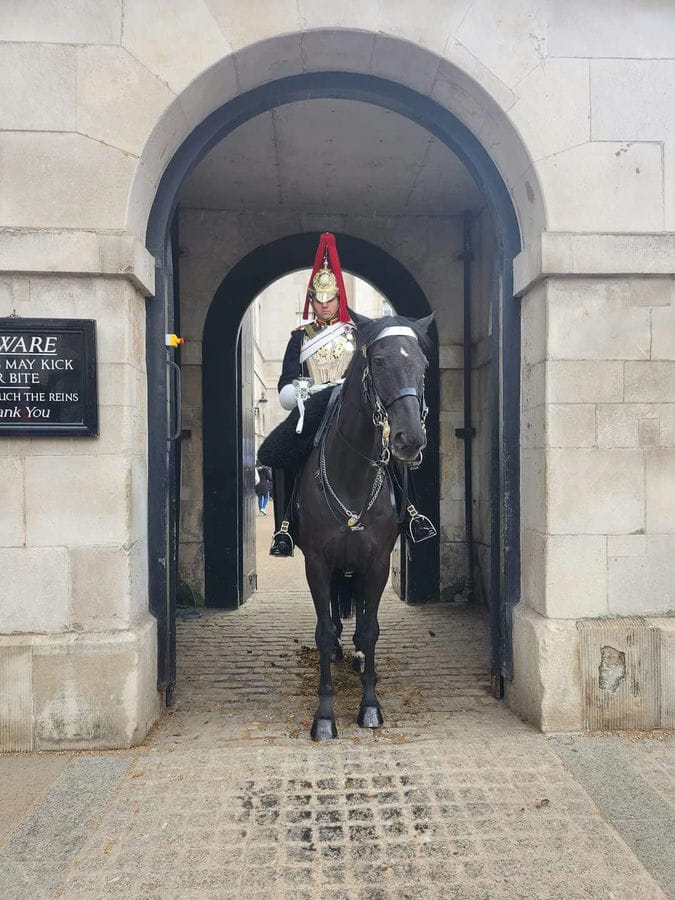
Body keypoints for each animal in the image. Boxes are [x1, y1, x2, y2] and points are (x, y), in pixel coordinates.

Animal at [296, 310, 434, 740]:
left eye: (423, 365)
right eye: (379, 361)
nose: (410, 439)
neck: (352, 475)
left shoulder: (375, 564)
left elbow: (370, 629)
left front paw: (370, 705)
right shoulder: (317, 564)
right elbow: (324, 632)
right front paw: (324, 717)